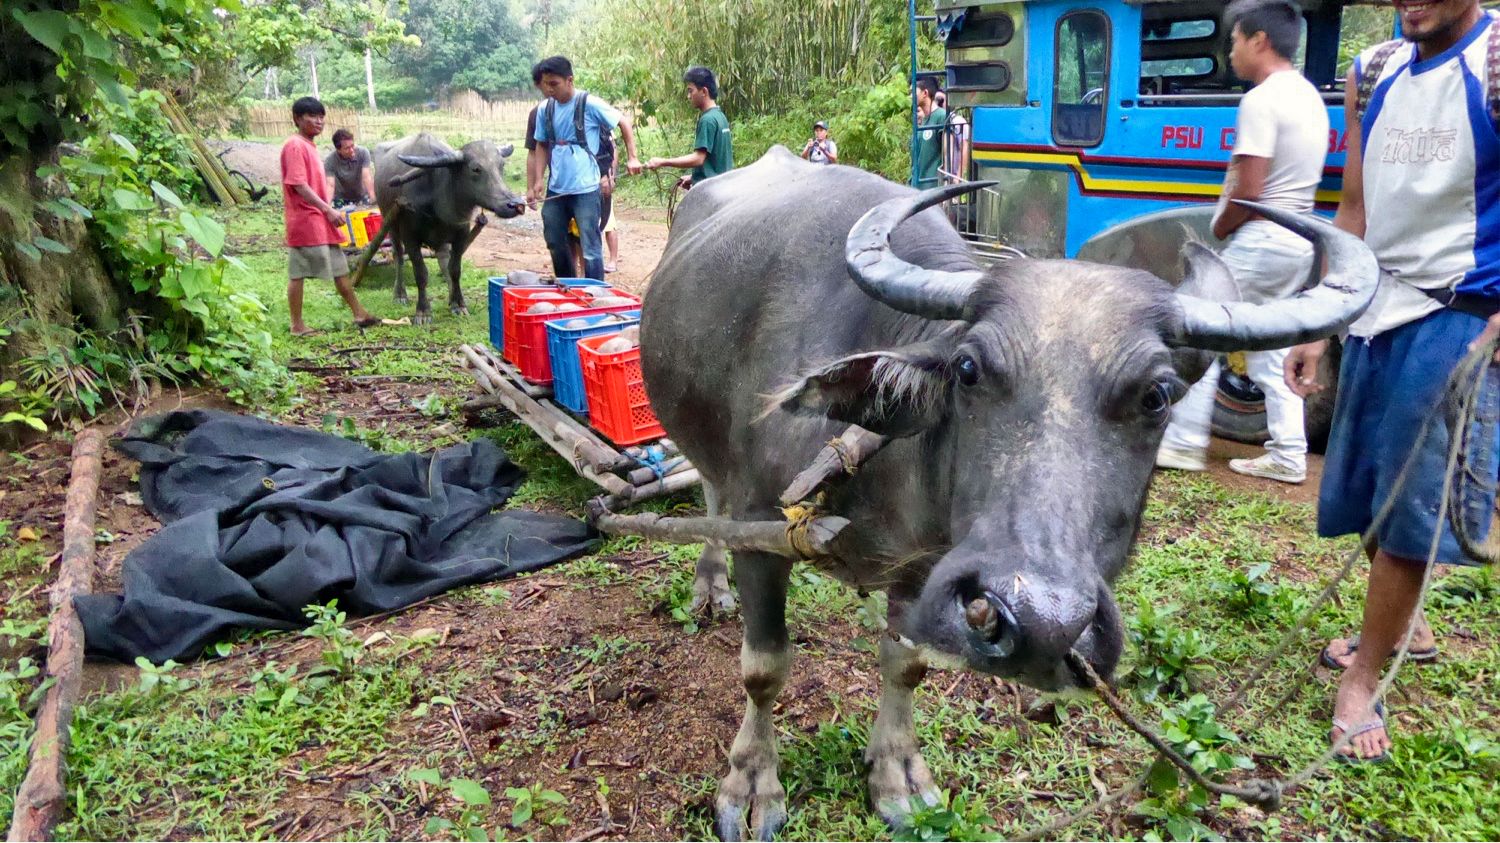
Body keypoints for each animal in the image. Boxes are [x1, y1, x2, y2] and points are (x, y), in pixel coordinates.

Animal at [375, 132, 528, 322]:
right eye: (475, 168)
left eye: (501, 165)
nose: (515, 204)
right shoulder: (410, 237)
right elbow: (421, 273)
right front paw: (423, 311)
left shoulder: (461, 234)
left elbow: (454, 270)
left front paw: (459, 304)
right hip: (391, 225)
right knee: (398, 256)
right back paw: (400, 294)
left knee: (443, 259)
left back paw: (450, 295)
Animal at [639, 147, 1374, 834]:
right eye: (967, 370)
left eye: (1158, 395)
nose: (1041, 625)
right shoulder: (763, 530)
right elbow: (765, 667)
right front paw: (751, 785)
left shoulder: (927, 568)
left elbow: (906, 664)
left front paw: (897, 773)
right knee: (710, 494)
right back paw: (710, 586)